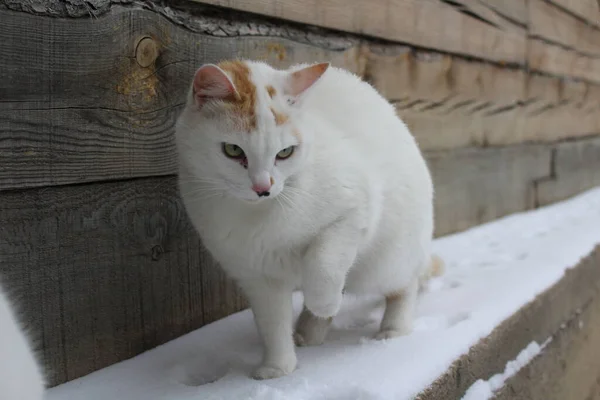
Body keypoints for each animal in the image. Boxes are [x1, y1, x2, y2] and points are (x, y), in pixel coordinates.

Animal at [176, 61, 438, 380]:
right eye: (233, 150)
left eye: (285, 153)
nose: (263, 188)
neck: (259, 216)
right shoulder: (258, 278)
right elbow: (272, 325)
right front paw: (277, 368)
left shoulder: (353, 210)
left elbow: (323, 266)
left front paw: (324, 303)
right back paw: (308, 332)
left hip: (384, 264)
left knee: (403, 285)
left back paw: (392, 328)